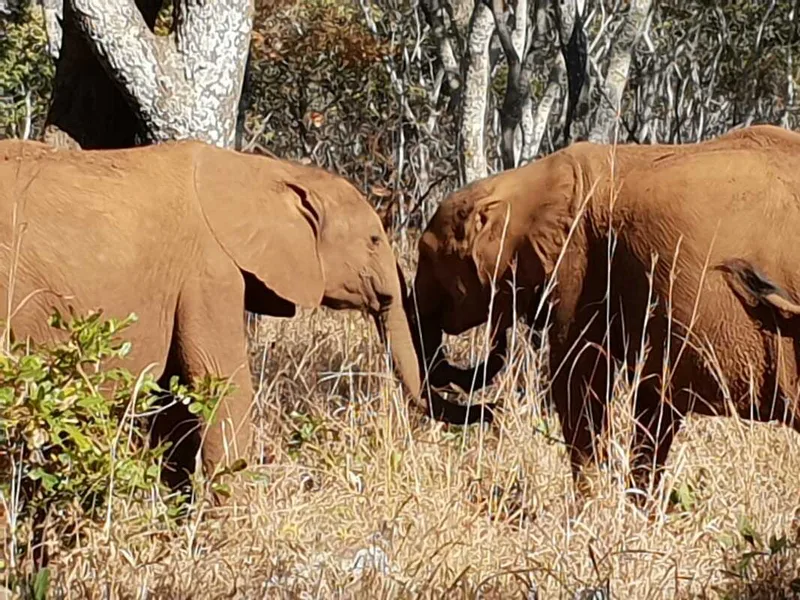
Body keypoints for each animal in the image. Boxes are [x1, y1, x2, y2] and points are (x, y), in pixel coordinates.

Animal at [0, 138, 487, 499]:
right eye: (373, 239)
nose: (490, 411)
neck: (262, 172)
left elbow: (175, 400)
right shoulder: (209, 272)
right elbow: (219, 384)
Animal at [406, 124, 800, 505]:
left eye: (427, 258)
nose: (493, 410)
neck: (527, 181)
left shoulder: (580, 263)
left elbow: (578, 381)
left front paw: (590, 508)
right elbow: (653, 404)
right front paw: (633, 509)